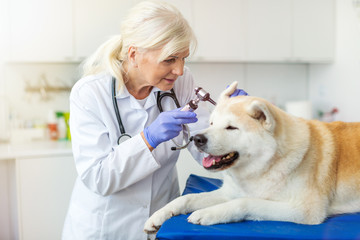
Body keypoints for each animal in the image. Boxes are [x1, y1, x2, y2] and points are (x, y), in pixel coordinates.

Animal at [143, 81, 360, 233]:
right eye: (211, 123)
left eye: (231, 128)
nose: (196, 138)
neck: (264, 166)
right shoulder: (228, 193)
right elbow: (186, 198)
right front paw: (158, 215)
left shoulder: (305, 210)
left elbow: (244, 202)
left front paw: (208, 213)